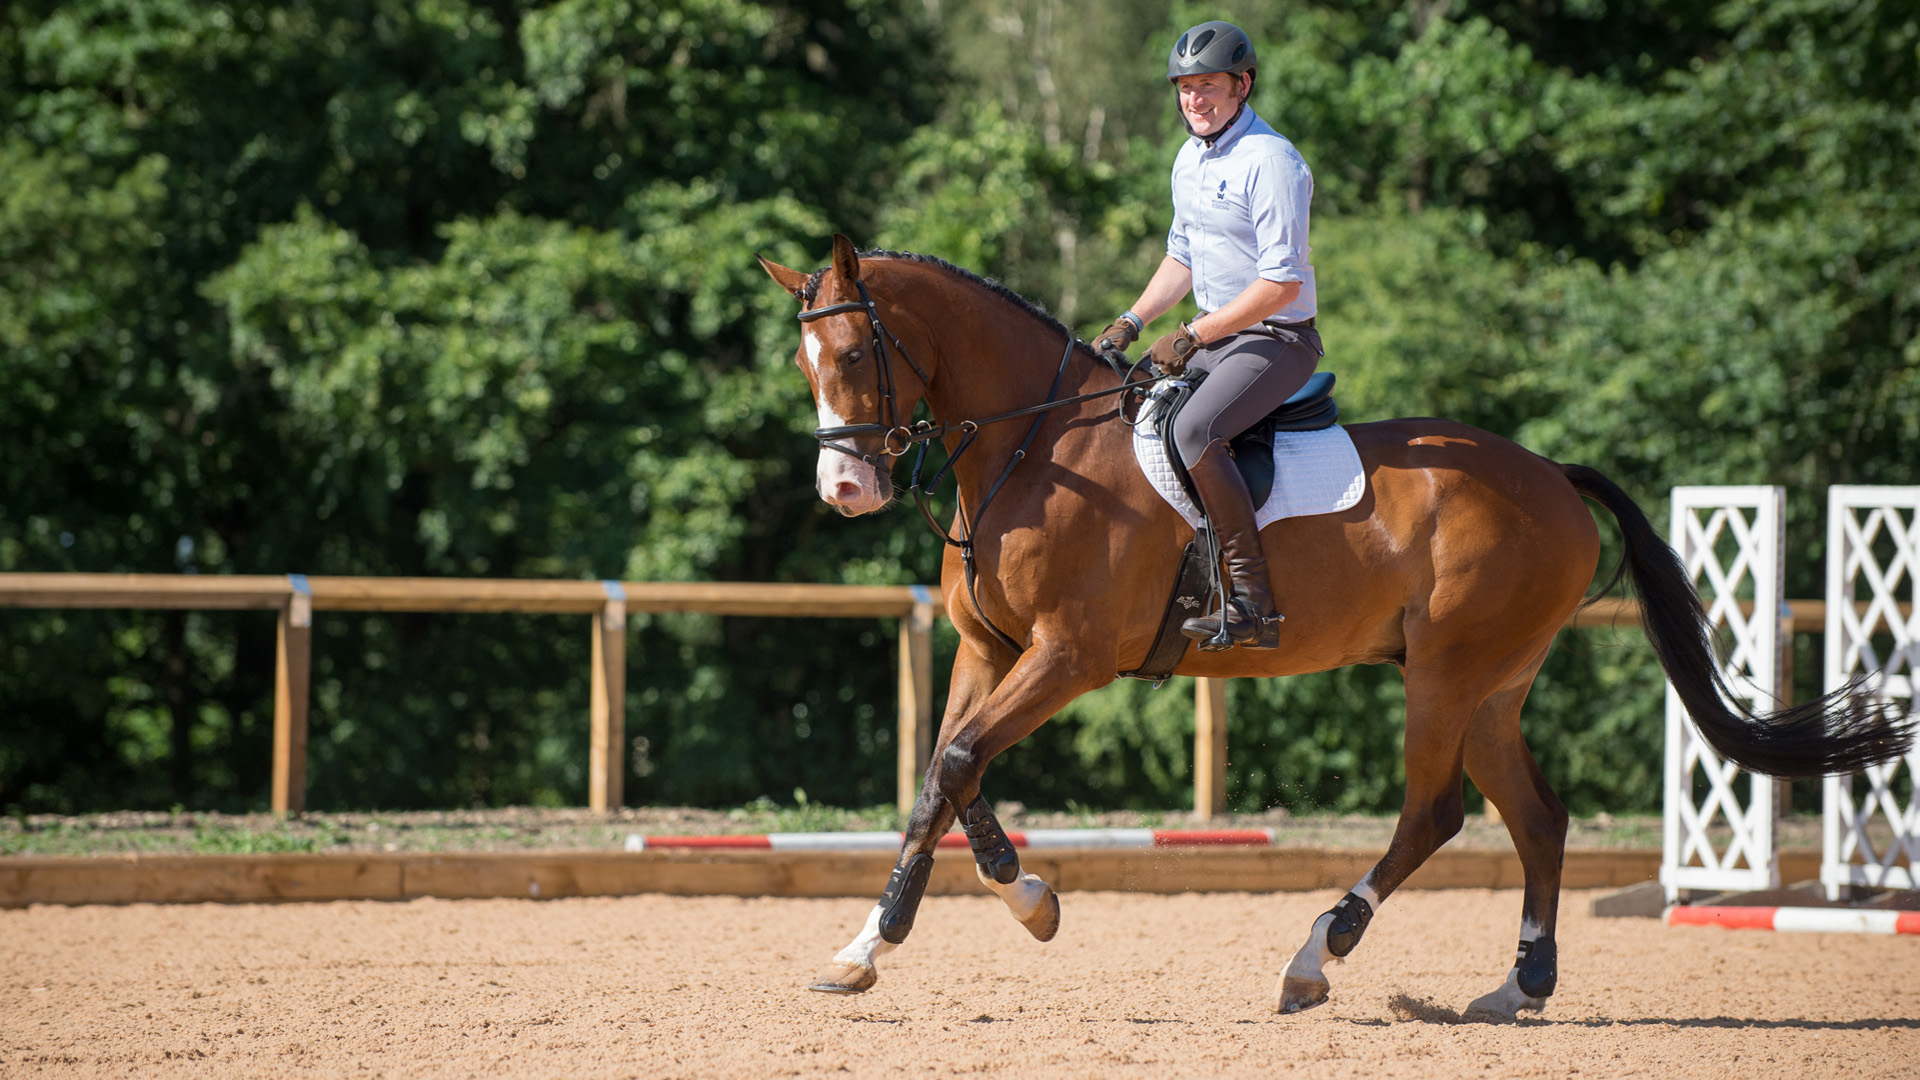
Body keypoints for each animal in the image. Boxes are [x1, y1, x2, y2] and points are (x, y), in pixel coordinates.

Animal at [755, 234, 1910, 1019]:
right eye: (806, 365)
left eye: (855, 352)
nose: (845, 489)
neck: (1037, 449)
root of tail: (1549, 474)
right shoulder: (991, 650)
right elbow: (942, 776)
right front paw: (885, 942)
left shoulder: (1069, 658)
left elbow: (958, 762)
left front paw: (1009, 904)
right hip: (1493, 684)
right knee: (1537, 819)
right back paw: (1519, 987)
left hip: (1446, 670)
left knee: (1434, 814)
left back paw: (1316, 956)